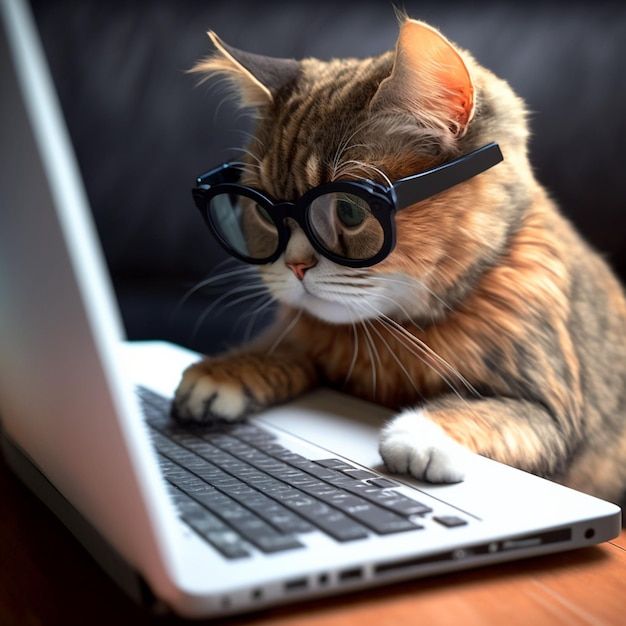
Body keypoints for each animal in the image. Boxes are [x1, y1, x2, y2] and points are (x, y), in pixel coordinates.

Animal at [173, 15, 624, 502]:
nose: (294, 266)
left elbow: (497, 412)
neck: (391, 333)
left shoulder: (555, 411)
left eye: (350, 211)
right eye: (261, 209)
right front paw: (229, 369)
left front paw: (425, 433)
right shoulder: (308, 335)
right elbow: (289, 345)